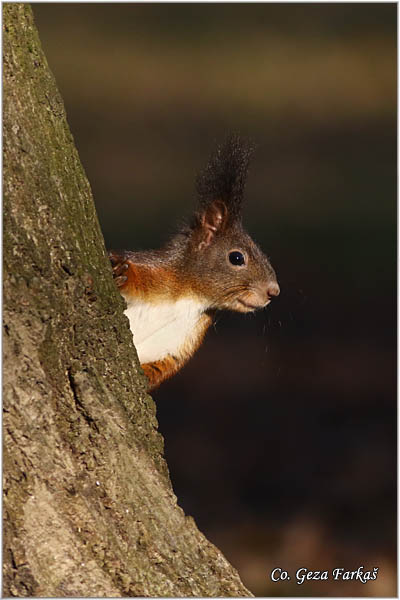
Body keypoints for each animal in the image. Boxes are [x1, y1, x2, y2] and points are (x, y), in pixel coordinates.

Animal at [108, 135, 280, 390]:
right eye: (237, 257)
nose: (273, 291)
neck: (190, 298)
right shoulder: (155, 269)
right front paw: (121, 272)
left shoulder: (181, 343)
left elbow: (161, 367)